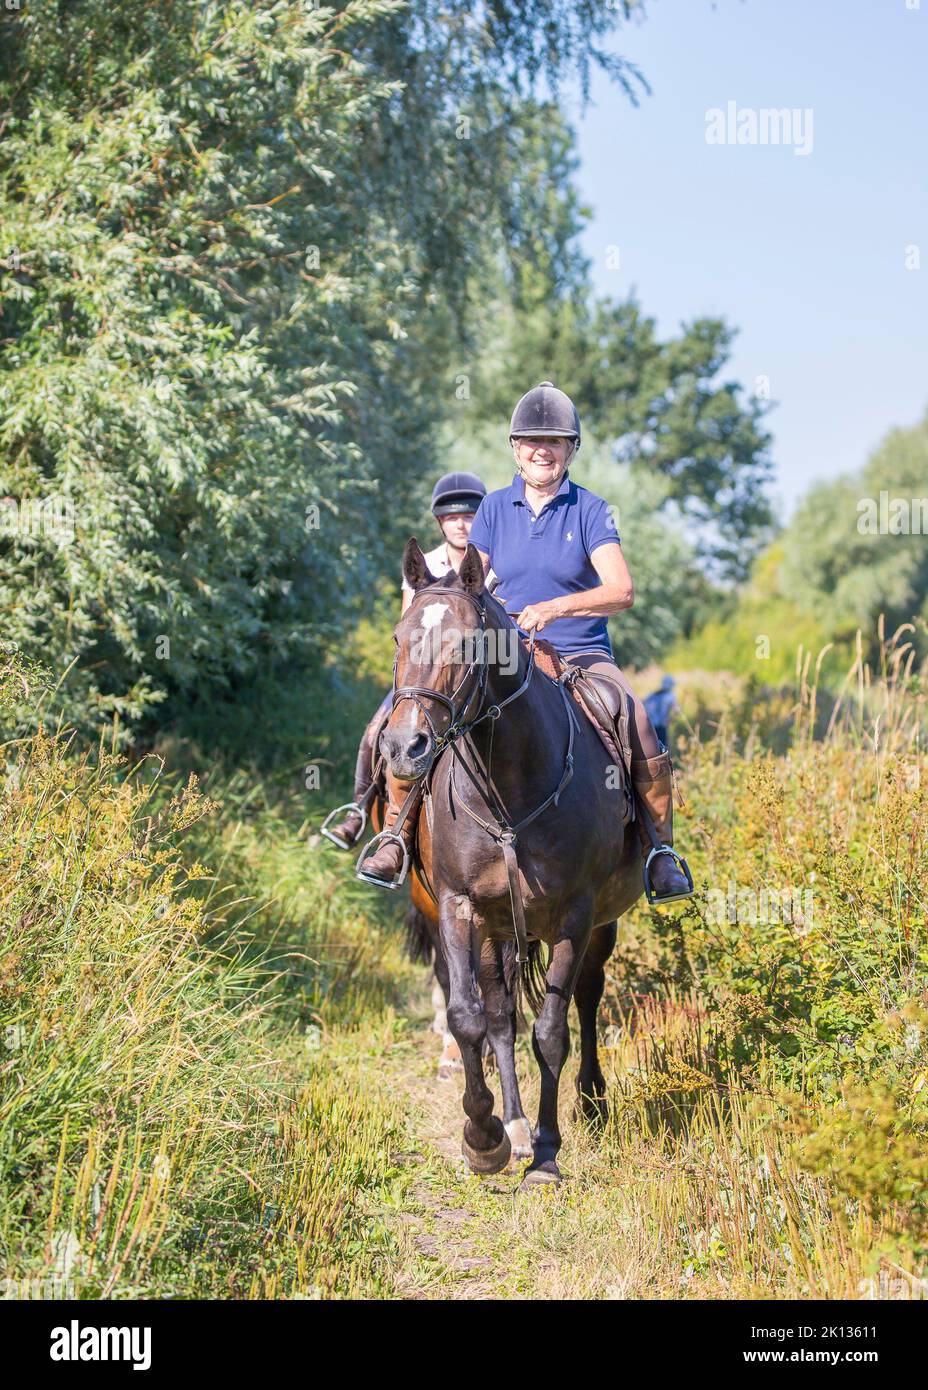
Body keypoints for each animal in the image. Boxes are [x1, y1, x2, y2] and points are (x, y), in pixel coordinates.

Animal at [377, 536, 644, 1189]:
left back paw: (589, 1102)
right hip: (499, 927)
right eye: (399, 638)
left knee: (587, 996)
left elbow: (551, 1031)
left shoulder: (576, 914)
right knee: (500, 1014)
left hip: (600, 923)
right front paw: (485, 1136)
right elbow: (470, 1016)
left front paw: (547, 1155)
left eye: (467, 643)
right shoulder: (459, 907)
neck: (510, 788)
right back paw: (515, 1126)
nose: (403, 747)